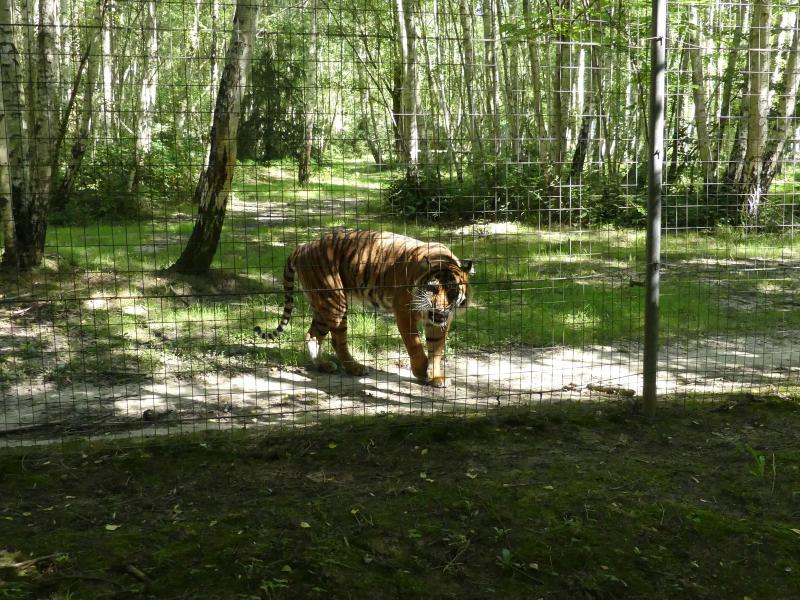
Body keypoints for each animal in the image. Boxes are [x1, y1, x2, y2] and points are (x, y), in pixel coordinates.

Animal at [254, 230, 473, 388]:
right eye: (433, 288)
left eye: (452, 290)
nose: (440, 309)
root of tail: (302, 246)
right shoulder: (404, 313)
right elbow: (416, 345)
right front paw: (421, 371)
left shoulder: (440, 321)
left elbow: (436, 349)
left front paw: (436, 377)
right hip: (335, 302)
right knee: (337, 340)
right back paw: (355, 368)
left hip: (322, 305)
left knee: (312, 334)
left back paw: (324, 365)